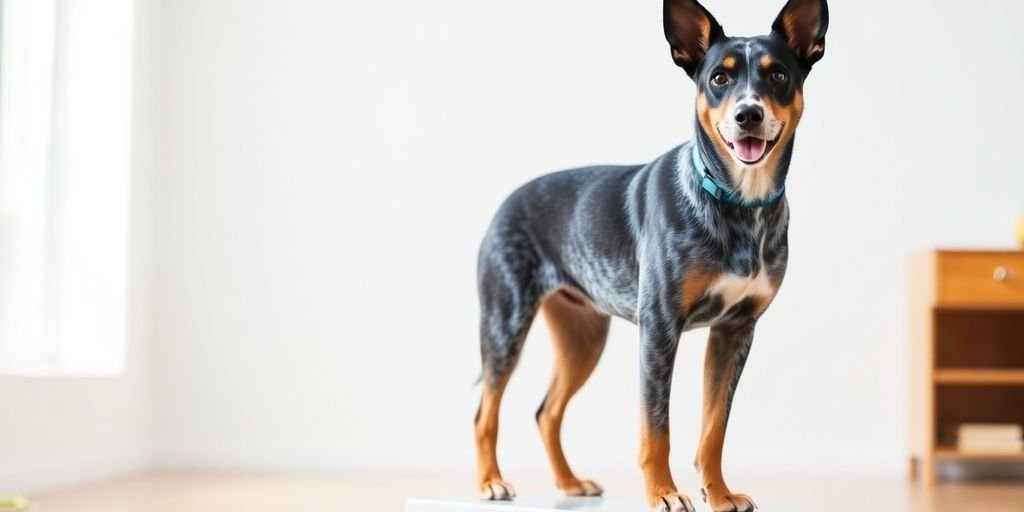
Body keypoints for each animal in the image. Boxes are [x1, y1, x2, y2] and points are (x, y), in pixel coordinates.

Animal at [475, 2, 827, 509]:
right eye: (719, 78)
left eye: (778, 74)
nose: (748, 114)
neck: (739, 203)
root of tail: (507, 202)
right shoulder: (660, 327)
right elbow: (656, 429)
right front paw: (663, 493)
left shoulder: (735, 331)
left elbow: (713, 430)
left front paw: (719, 494)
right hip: (505, 323)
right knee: (485, 411)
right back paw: (490, 482)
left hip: (583, 335)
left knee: (547, 412)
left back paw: (570, 483)